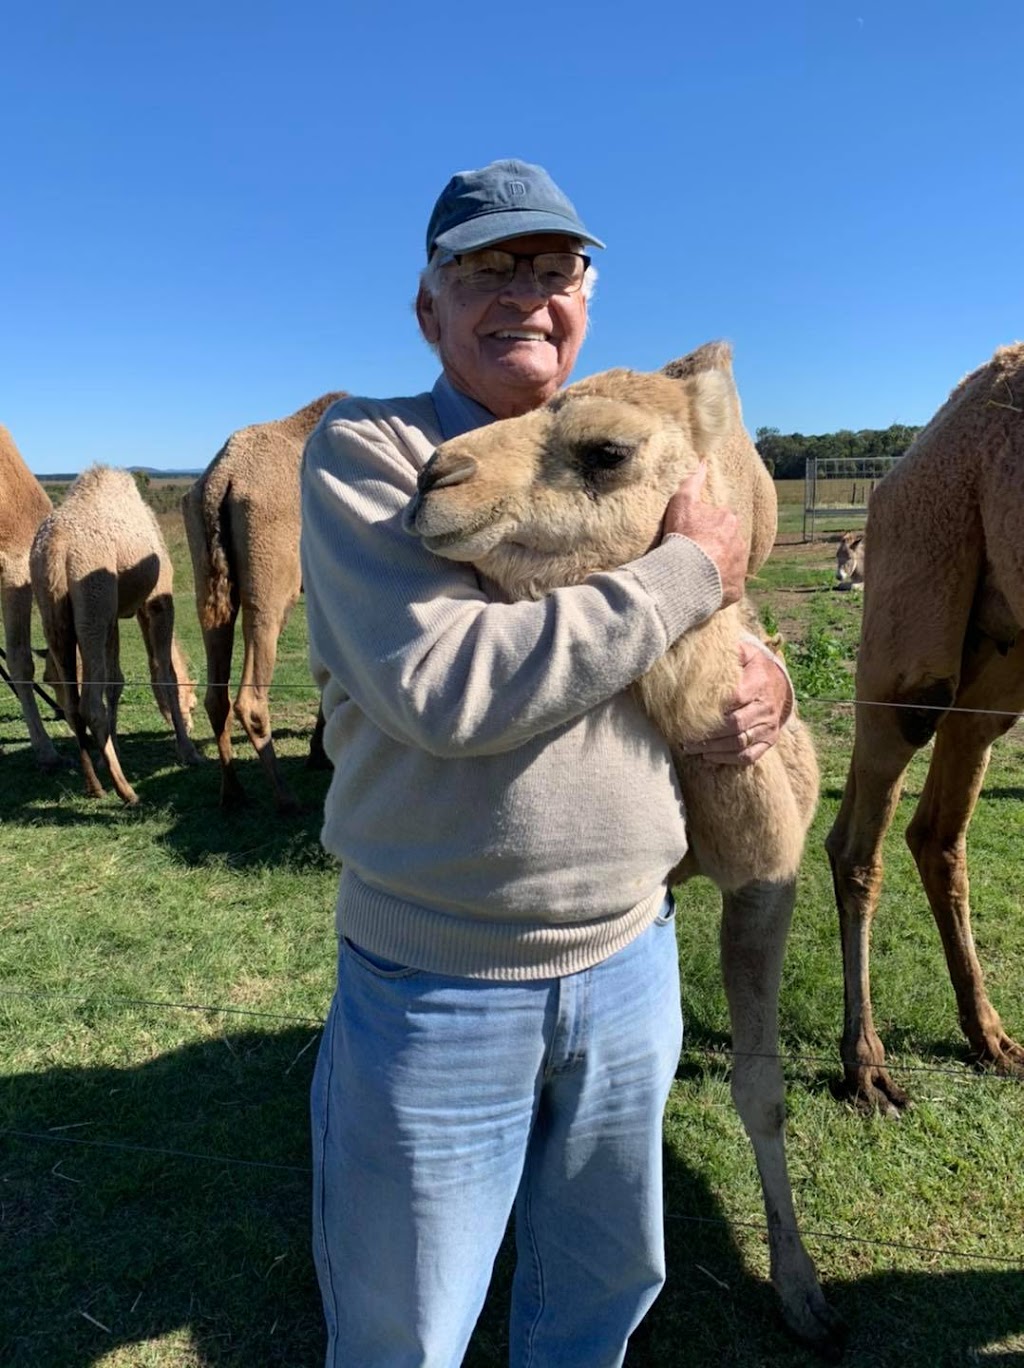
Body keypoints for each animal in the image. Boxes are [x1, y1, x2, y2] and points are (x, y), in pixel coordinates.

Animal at [28, 462, 198, 798]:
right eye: (195, 705)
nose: (192, 724)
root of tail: (57, 546)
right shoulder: (156, 600)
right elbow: (165, 674)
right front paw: (188, 751)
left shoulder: (115, 612)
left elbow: (115, 680)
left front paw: (114, 747)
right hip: (94, 597)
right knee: (90, 704)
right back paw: (126, 790)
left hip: (54, 608)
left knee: (72, 702)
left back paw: (95, 784)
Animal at [181, 391, 345, 804]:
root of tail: (221, 478)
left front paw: (319, 754)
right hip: (273, 580)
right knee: (251, 696)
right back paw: (286, 798)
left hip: (208, 576)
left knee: (216, 689)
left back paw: (232, 793)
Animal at [820, 339, 1022, 1110]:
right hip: (920, 621)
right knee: (858, 847)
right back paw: (868, 1067)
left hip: (998, 659)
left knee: (933, 834)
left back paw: (992, 1038)